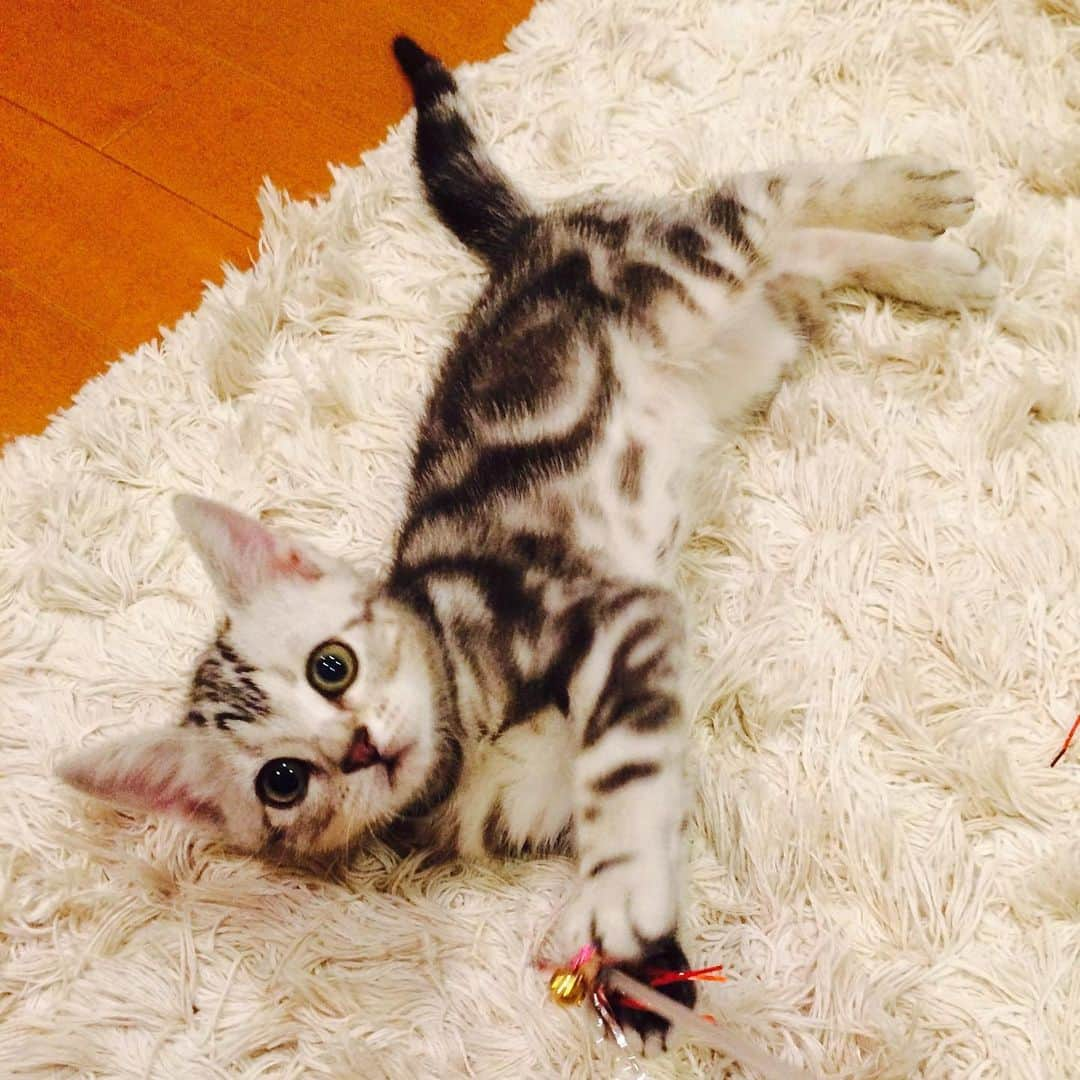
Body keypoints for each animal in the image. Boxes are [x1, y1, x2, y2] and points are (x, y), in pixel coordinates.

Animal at [59, 35, 997, 1054]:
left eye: (331, 666)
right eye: (282, 781)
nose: (358, 749)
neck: (459, 747)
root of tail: (527, 244)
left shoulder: (609, 610)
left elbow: (623, 767)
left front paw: (625, 893)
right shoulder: (543, 795)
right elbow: (614, 803)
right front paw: (616, 945)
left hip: (689, 263)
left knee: (761, 197)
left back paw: (917, 194)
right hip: (750, 334)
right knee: (803, 259)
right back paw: (933, 267)